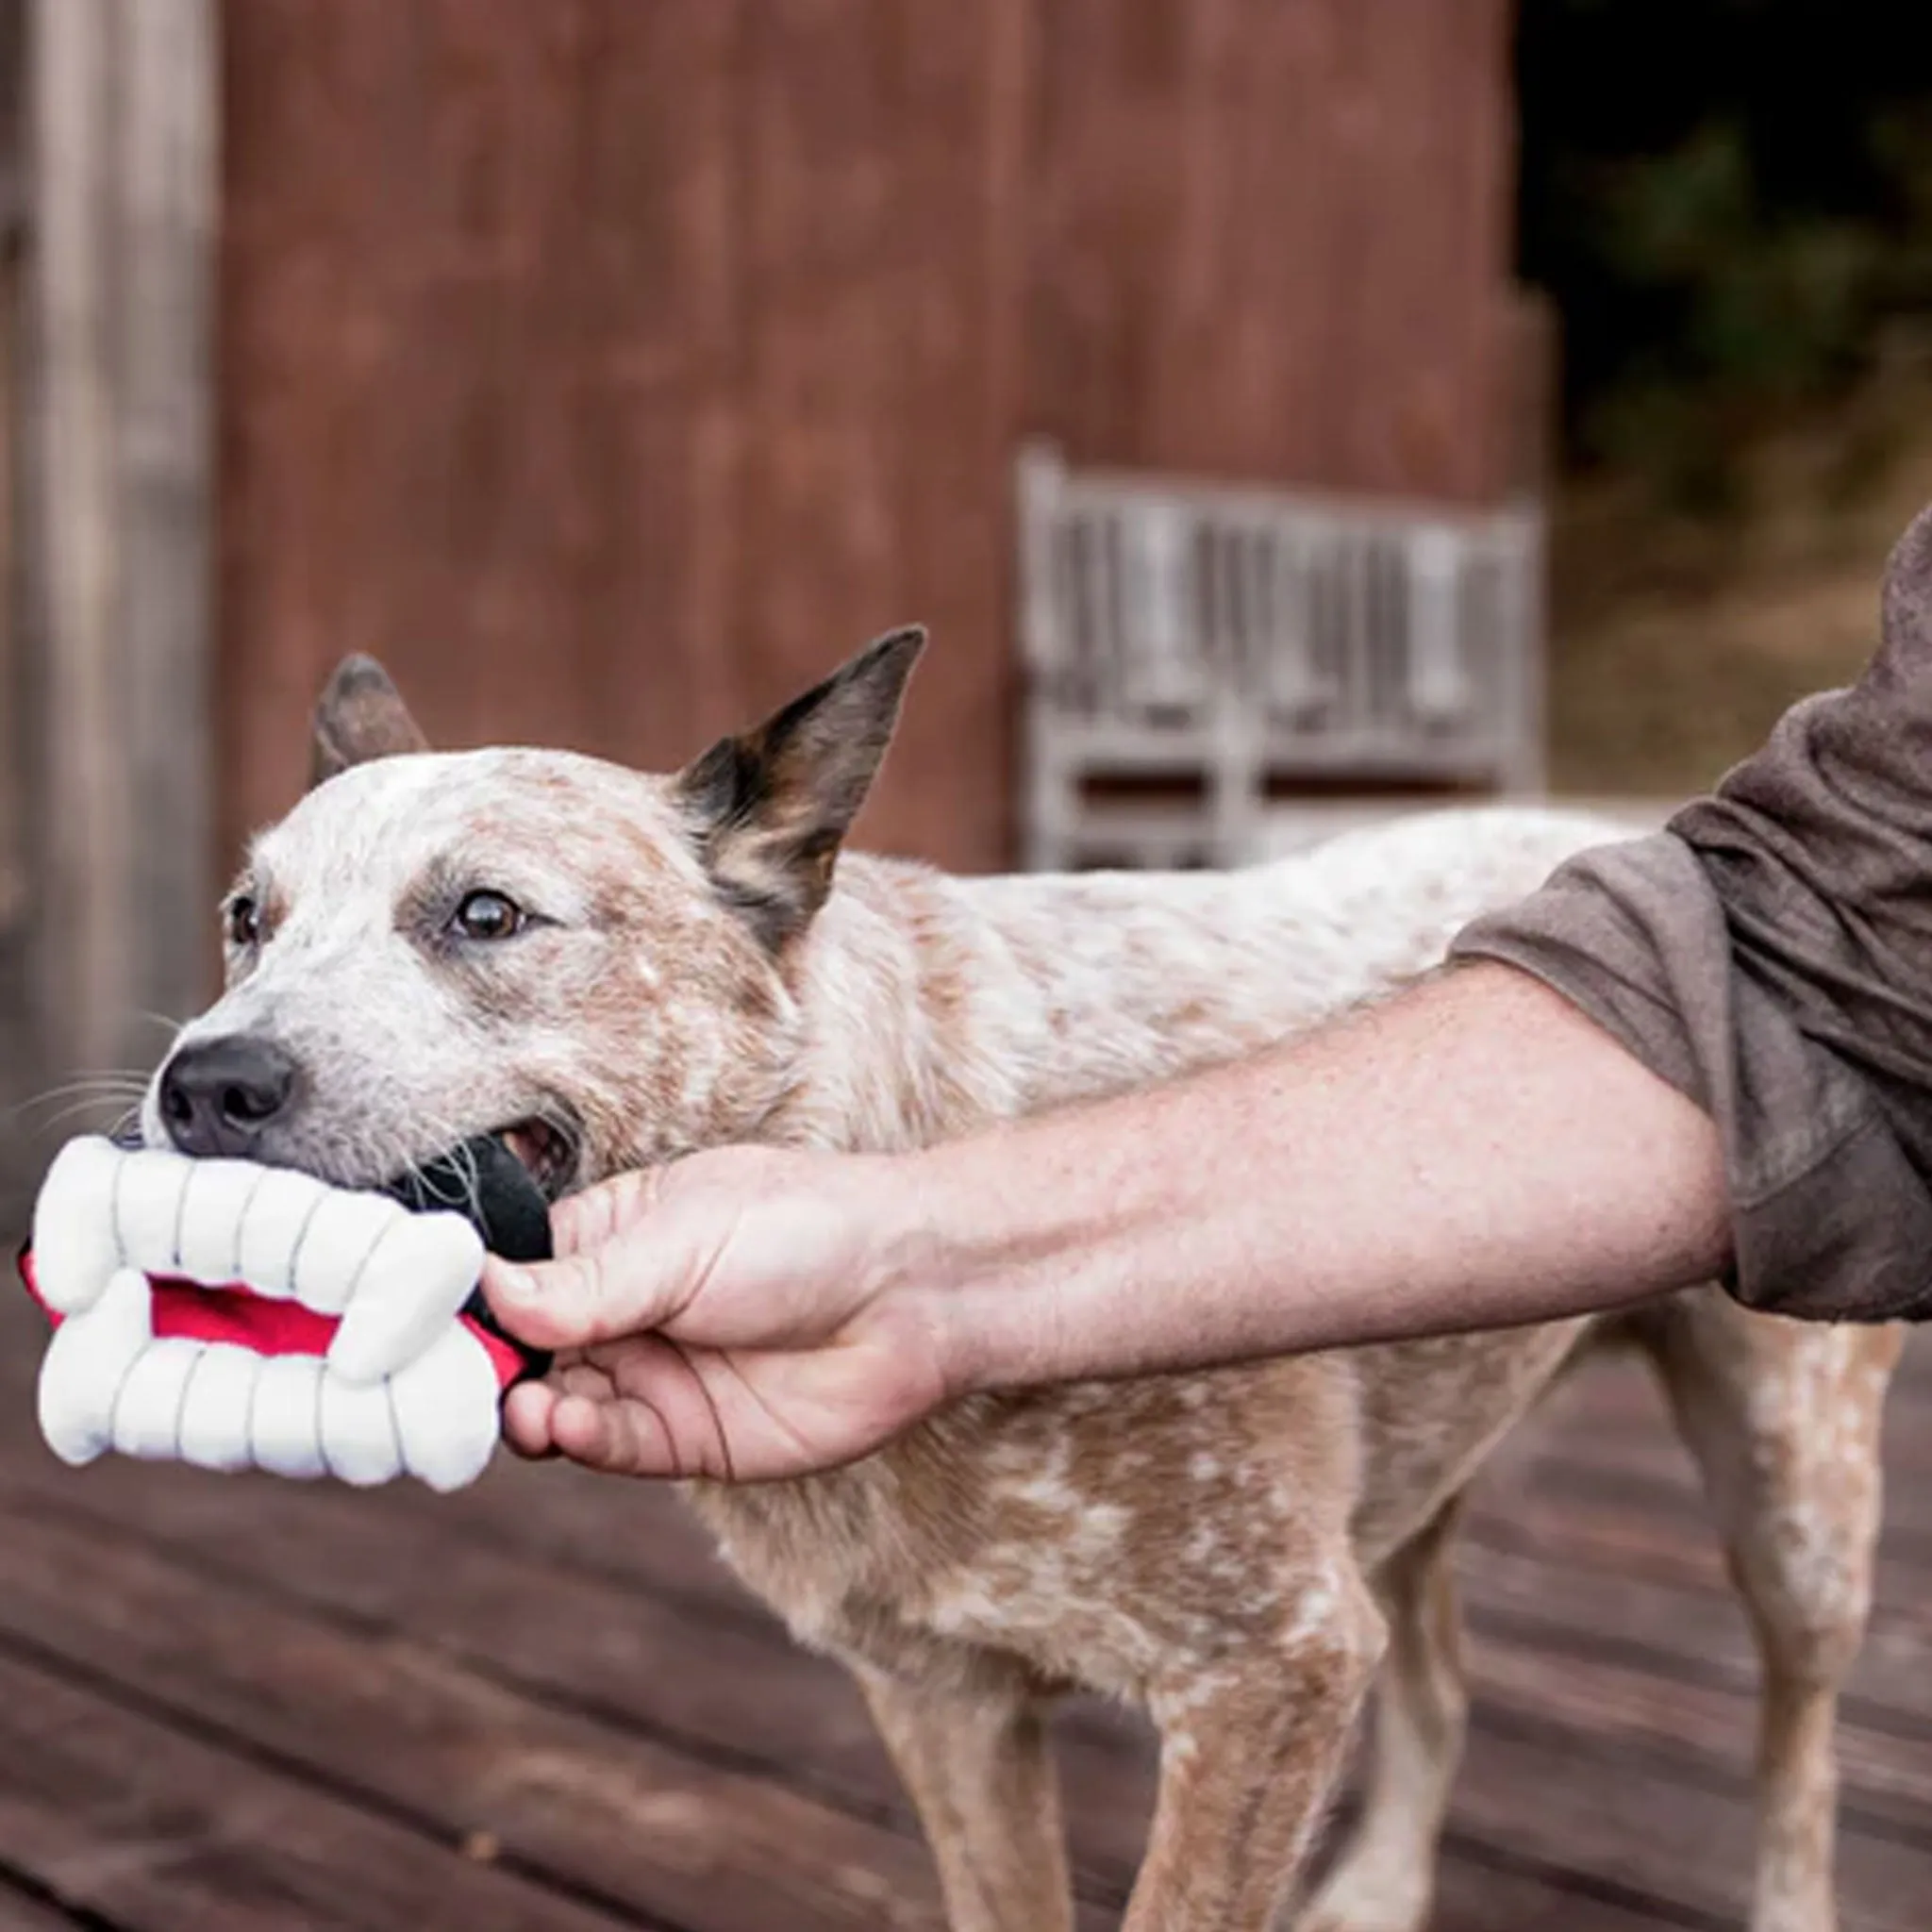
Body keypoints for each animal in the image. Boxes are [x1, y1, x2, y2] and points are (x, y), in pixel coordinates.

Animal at [142, 637, 1893, 1932]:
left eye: (487, 913)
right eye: (244, 921)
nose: (203, 1084)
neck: (906, 1136)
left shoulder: (1269, 1664)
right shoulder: (948, 1703)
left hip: (1792, 1510)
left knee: (1798, 1761)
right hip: (1406, 1479)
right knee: (1451, 1685)